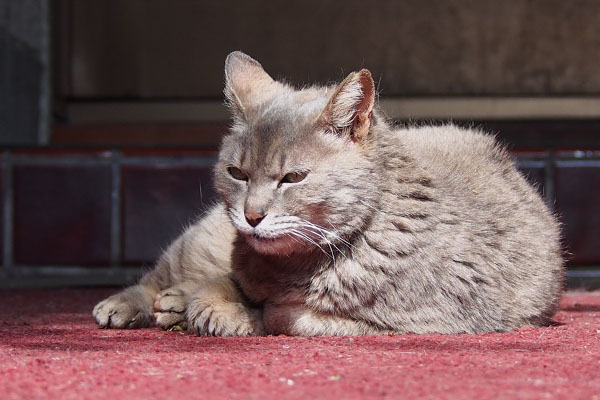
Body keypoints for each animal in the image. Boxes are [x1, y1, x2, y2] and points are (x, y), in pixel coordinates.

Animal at [91, 51, 564, 336]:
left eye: (293, 178)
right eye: (237, 173)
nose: (251, 216)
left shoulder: (405, 324)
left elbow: (282, 313)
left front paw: (216, 309)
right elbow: (228, 286)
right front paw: (206, 302)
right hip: (200, 241)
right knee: (157, 276)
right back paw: (129, 303)